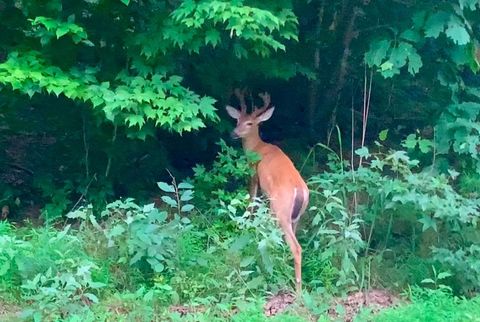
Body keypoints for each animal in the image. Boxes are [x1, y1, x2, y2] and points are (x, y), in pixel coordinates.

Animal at [226, 88, 310, 294]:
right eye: (237, 120)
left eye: (249, 123)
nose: (233, 133)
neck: (258, 147)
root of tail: (300, 191)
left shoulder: (253, 173)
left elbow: (251, 201)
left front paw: (245, 224)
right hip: (296, 215)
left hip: (281, 210)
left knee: (296, 247)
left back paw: (297, 290)